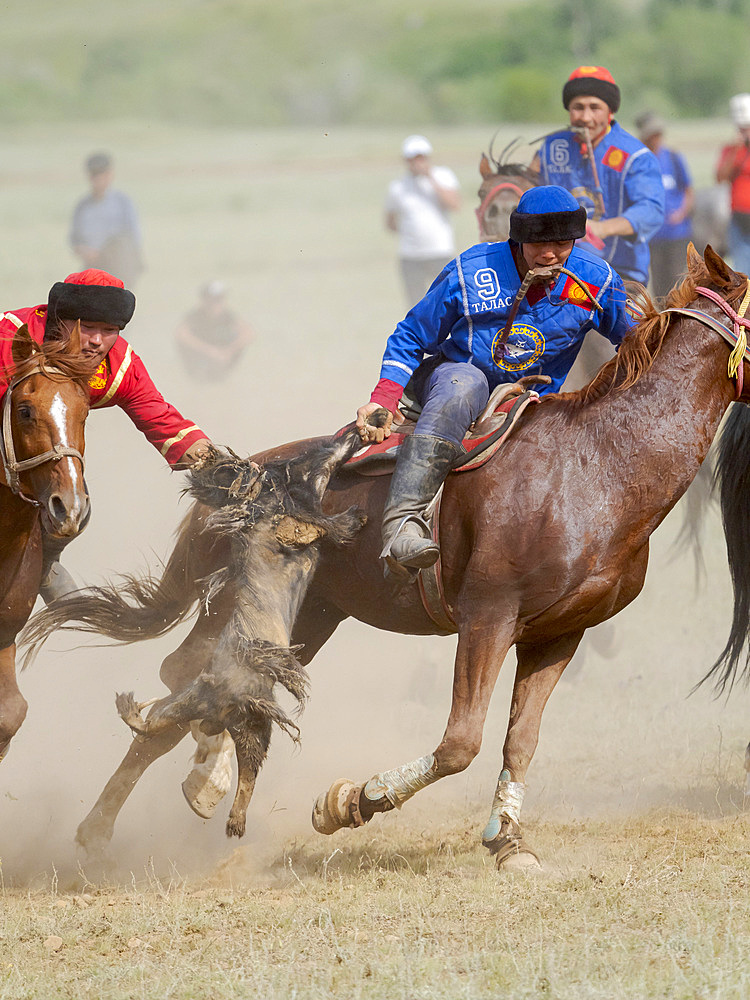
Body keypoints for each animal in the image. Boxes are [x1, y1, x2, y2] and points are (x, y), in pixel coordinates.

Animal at [20, 244, 750, 868]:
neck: (592, 468)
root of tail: (239, 476)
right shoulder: (488, 617)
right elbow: (460, 742)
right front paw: (349, 801)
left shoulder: (558, 635)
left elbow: (519, 740)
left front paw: (508, 841)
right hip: (238, 604)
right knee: (190, 679)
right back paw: (126, 813)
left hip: (309, 617)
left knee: (218, 687)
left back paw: (176, 791)